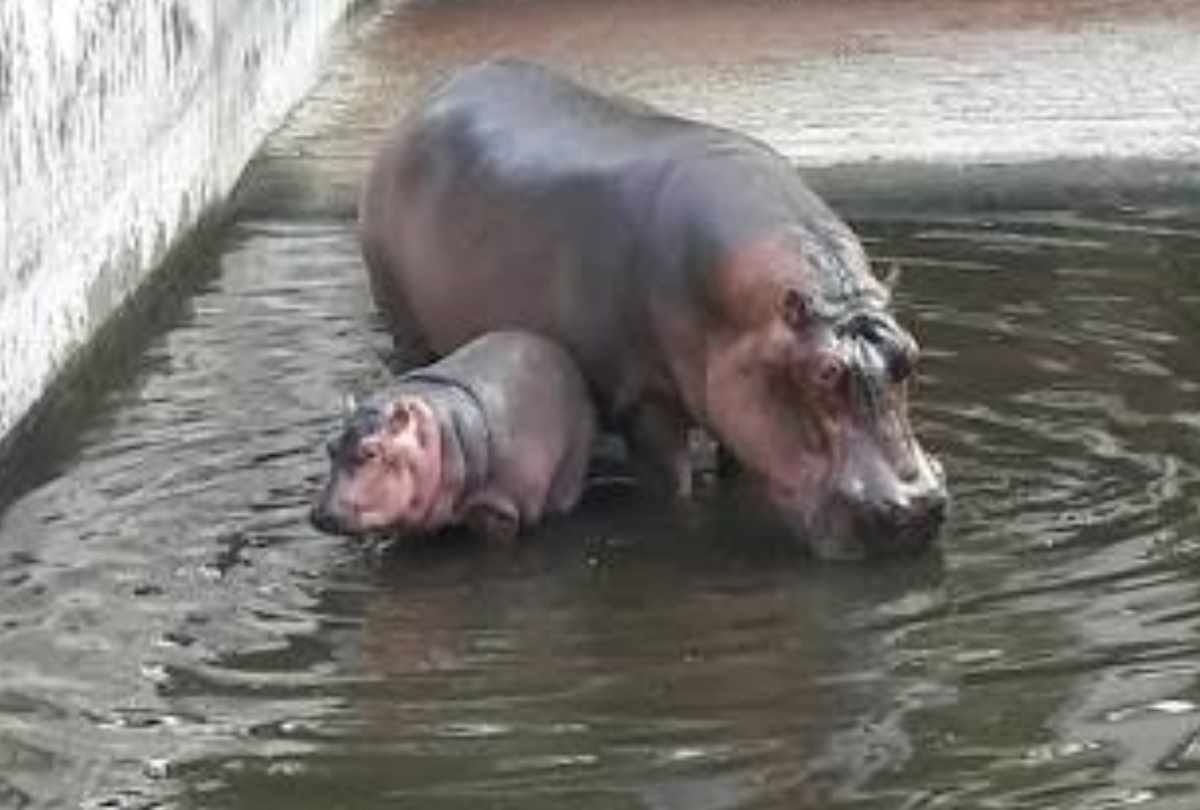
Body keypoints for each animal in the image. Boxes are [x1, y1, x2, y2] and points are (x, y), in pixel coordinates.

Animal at [359, 59, 947, 558]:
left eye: (911, 354)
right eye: (824, 372)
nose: (917, 511)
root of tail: (427, 98)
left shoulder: (740, 397)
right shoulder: (645, 399)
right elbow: (675, 487)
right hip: (404, 325)